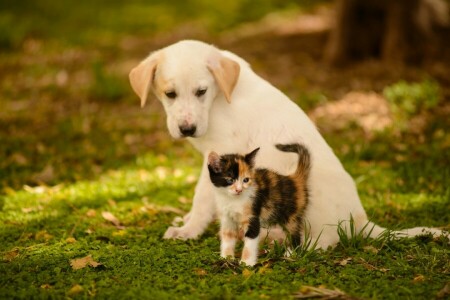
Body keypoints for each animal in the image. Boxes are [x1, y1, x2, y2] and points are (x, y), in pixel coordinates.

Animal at [129, 40, 442, 251]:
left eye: (201, 91)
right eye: (170, 94)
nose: (187, 129)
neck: (220, 99)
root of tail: (362, 220)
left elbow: (202, 197)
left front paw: (189, 230)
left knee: (326, 239)